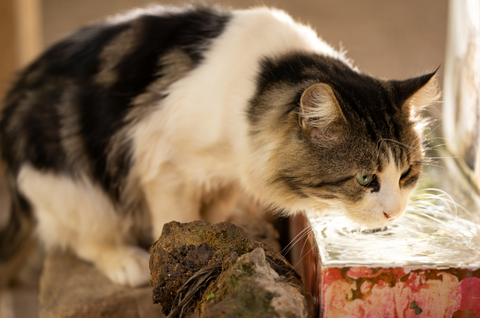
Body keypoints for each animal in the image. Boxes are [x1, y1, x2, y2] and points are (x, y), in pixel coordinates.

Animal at [0, 5, 438, 288]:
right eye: (365, 179)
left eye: (407, 174)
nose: (394, 212)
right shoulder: (163, 165)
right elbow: (174, 222)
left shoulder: (228, 174)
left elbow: (211, 213)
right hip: (69, 182)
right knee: (77, 234)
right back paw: (127, 262)